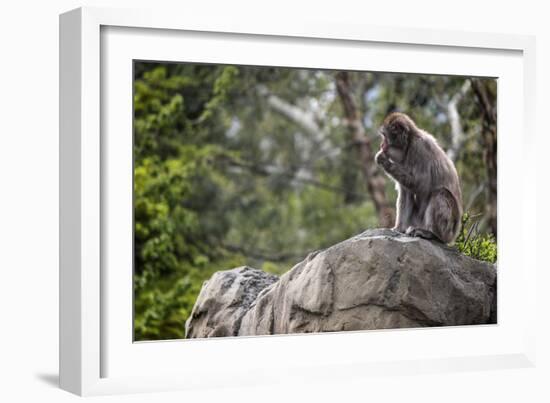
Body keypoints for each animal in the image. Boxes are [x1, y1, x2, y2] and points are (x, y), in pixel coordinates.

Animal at [376, 112, 466, 245]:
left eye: (385, 137)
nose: (382, 145)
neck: (409, 143)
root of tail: (454, 235)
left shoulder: (419, 148)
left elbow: (421, 184)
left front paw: (384, 162)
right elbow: (406, 192)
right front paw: (398, 228)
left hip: (448, 229)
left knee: (440, 193)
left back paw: (432, 234)